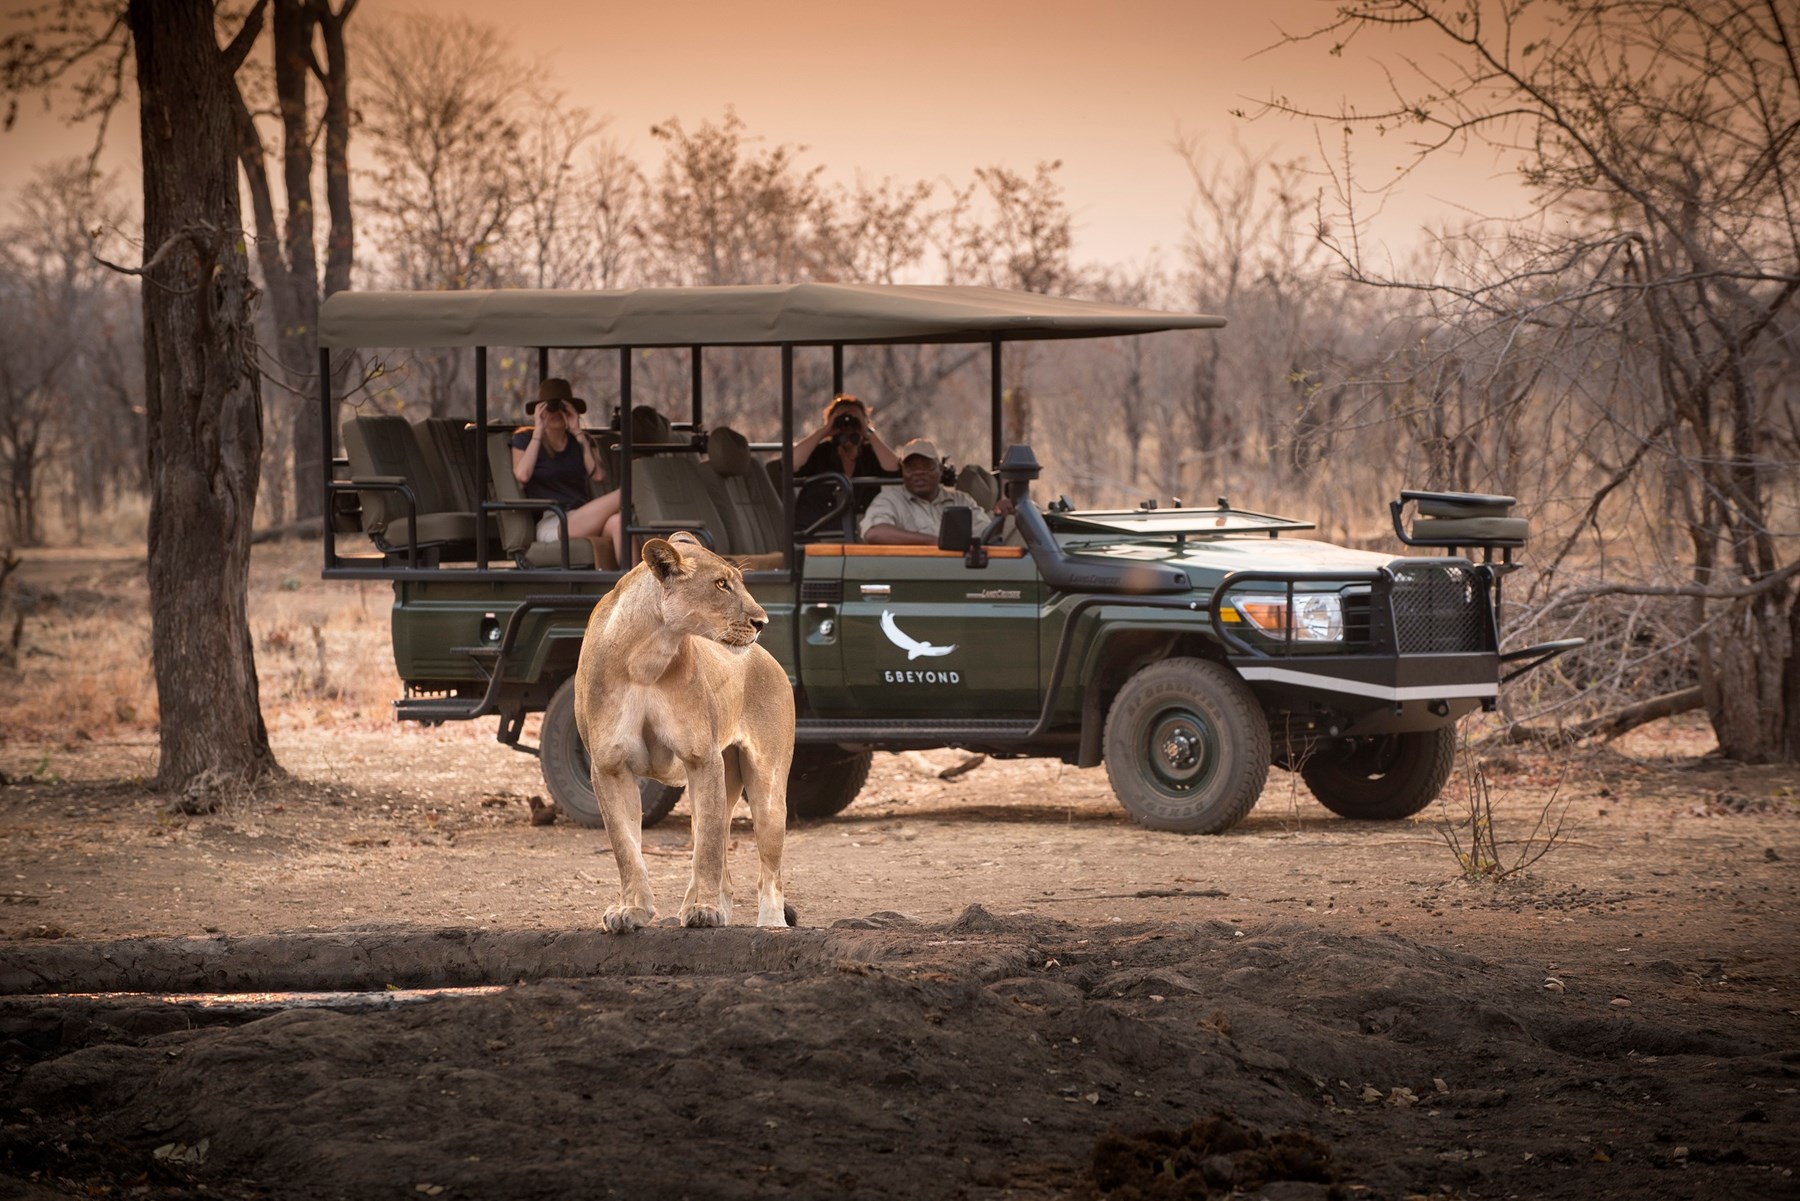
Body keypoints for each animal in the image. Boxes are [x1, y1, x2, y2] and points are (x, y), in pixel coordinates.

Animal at [573, 531, 796, 932]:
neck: (643, 658)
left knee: (768, 871)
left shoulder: (701, 757)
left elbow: (706, 848)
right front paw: (632, 910)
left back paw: (768, 923)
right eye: (721, 584)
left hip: (767, 787)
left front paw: (704, 909)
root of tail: (768, 659)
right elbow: (625, 846)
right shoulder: (608, 765)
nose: (762, 621)